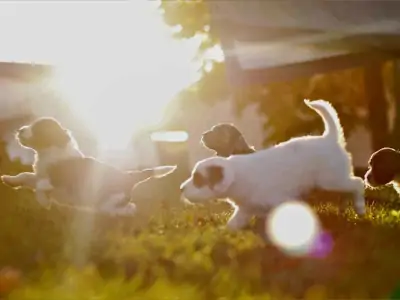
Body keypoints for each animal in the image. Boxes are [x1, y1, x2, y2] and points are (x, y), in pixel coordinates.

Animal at [181, 99, 366, 231]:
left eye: (198, 179)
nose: (181, 189)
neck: (238, 176)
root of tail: (329, 137)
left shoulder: (280, 201)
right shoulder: (246, 209)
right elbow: (234, 224)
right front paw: (222, 233)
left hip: (330, 180)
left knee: (358, 183)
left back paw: (360, 208)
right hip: (331, 182)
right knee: (346, 192)